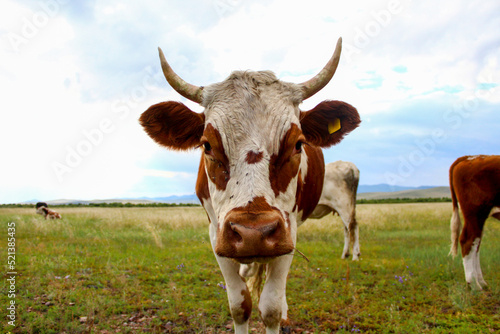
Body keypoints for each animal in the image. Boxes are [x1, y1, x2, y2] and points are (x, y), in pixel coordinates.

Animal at [139, 38, 362, 332]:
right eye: (206, 145)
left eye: (298, 144)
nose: (253, 233)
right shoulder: (217, 234)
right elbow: (239, 304)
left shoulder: (287, 232)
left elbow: (271, 307)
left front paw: (278, 312)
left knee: (350, 226)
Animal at [450, 155, 500, 288]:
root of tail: (469, 157)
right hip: (475, 214)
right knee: (468, 241)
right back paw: (474, 284)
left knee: (476, 243)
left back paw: (481, 282)